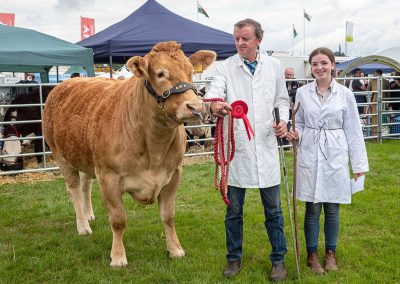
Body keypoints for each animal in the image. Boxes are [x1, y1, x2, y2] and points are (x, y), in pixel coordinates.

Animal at [43, 41, 216, 266]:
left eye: (191, 72)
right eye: (160, 73)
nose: (195, 107)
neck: (154, 146)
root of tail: (64, 84)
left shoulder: (174, 174)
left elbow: (168, 215)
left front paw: (175, 249)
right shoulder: (108, 177)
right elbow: (118, 220)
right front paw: (118, 257)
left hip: (83, 155)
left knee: (85, 185)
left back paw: (89, 215)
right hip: (61, 156)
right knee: (73, 190)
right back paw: (83, 226)